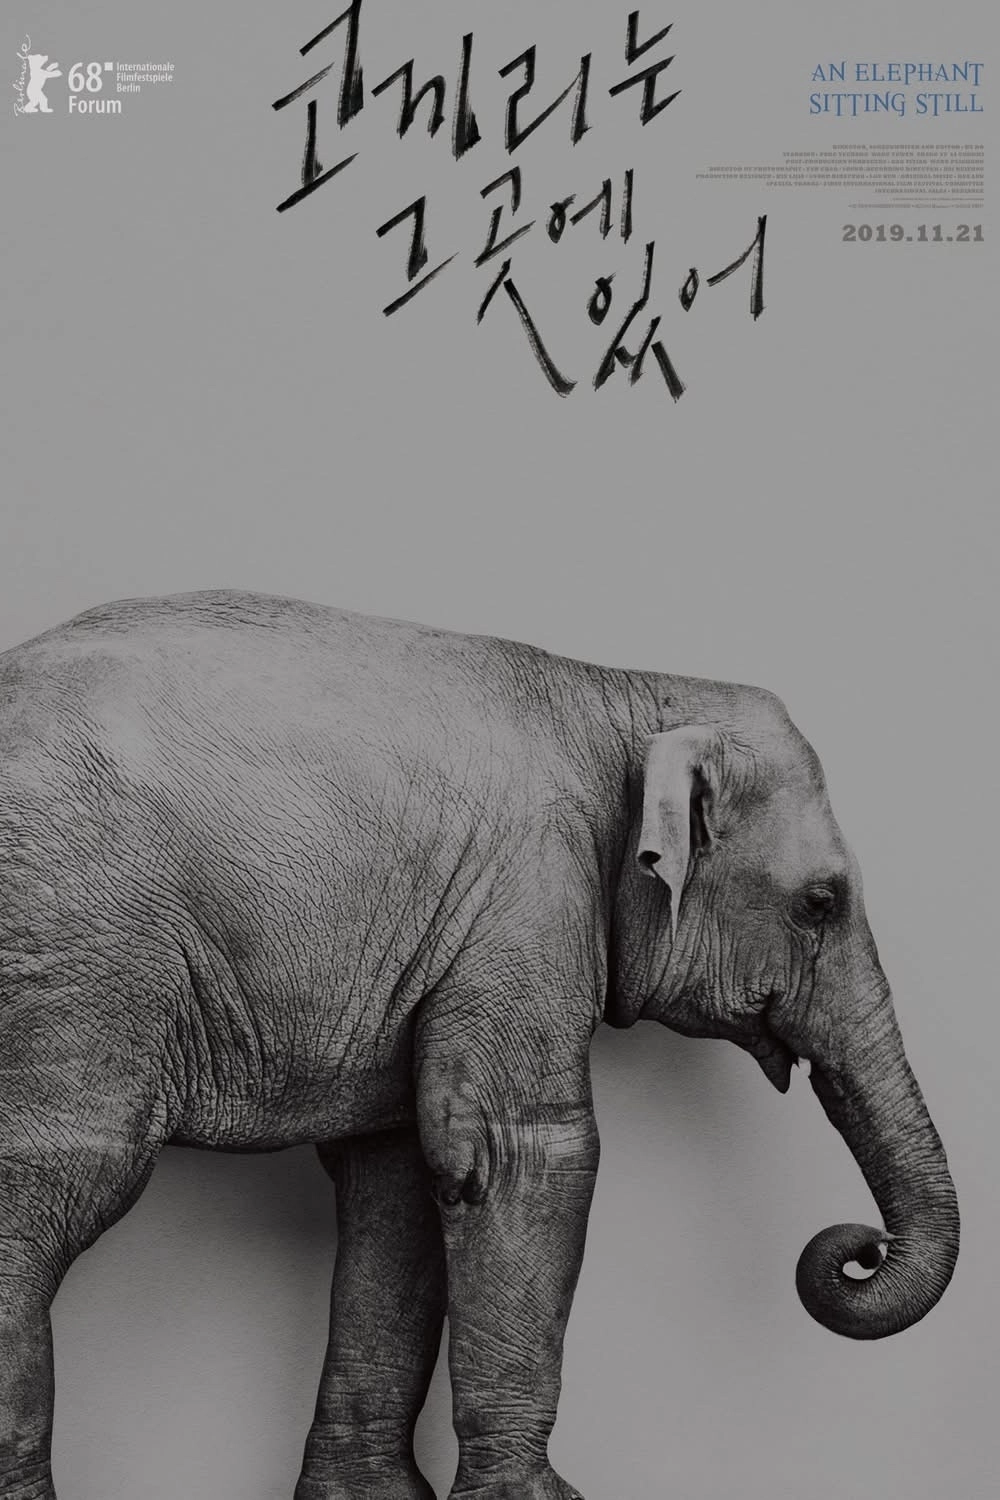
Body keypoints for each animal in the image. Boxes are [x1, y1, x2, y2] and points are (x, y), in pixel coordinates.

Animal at [0, 589, 958, 1500]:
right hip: (83, 953)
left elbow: (400, 1179)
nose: (859, 1248)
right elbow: (522, 1153)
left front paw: (372, 1499)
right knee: (62, 1181)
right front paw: (536, 1497)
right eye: (821, 903)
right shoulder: (529, 895)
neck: (614, 691)